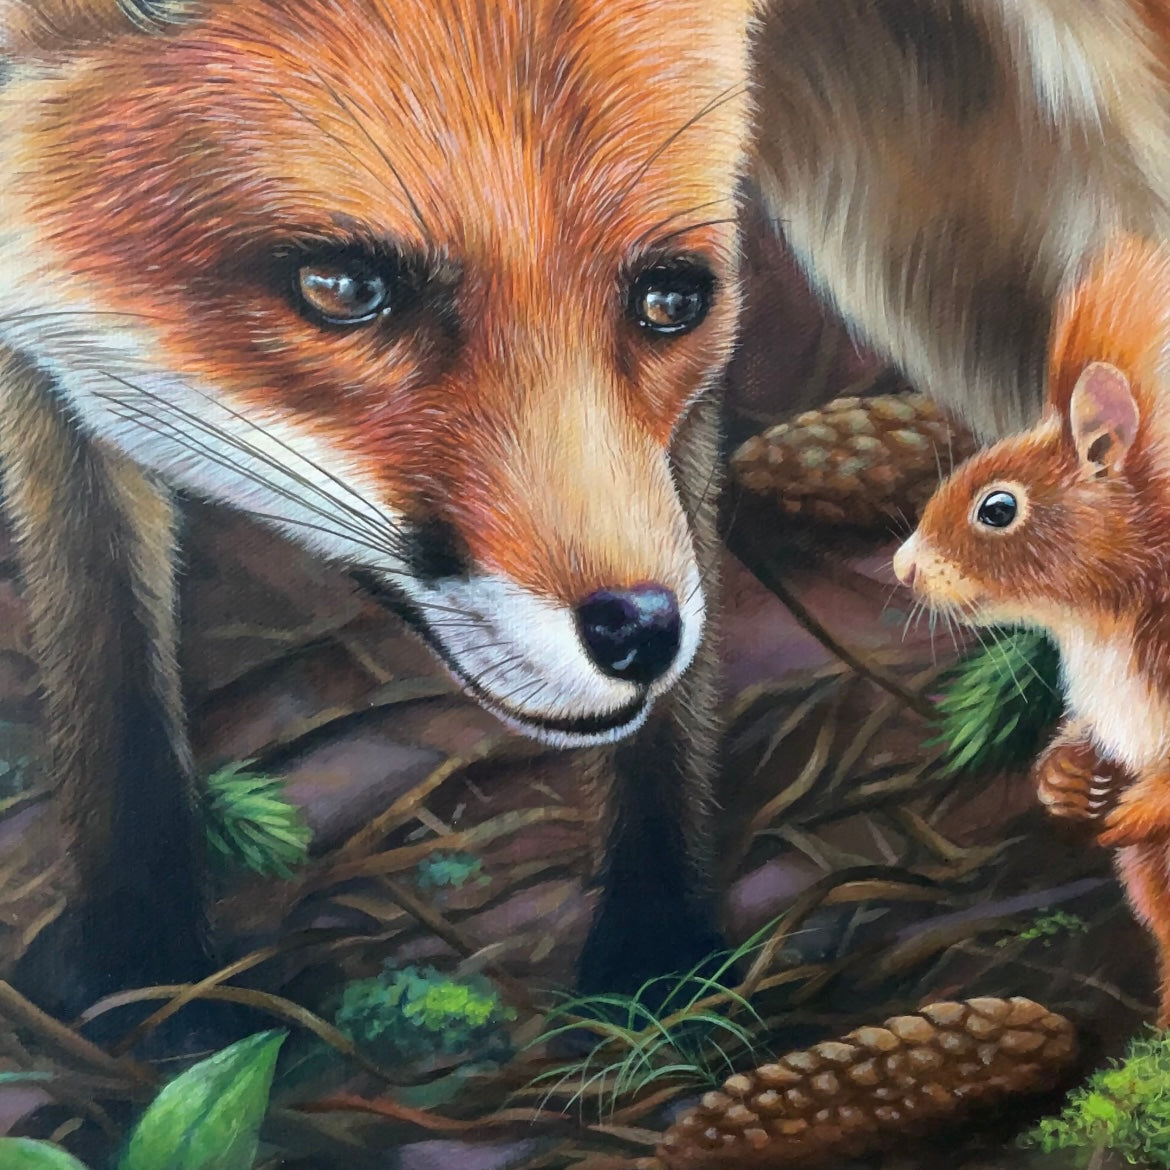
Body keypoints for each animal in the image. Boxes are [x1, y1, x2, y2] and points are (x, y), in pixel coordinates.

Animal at [2, 0, 1170, 1032]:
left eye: (670, 301)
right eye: (342, 288)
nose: (639, 633)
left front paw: (657, 964)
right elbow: (104, 645)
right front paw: (141, 969)